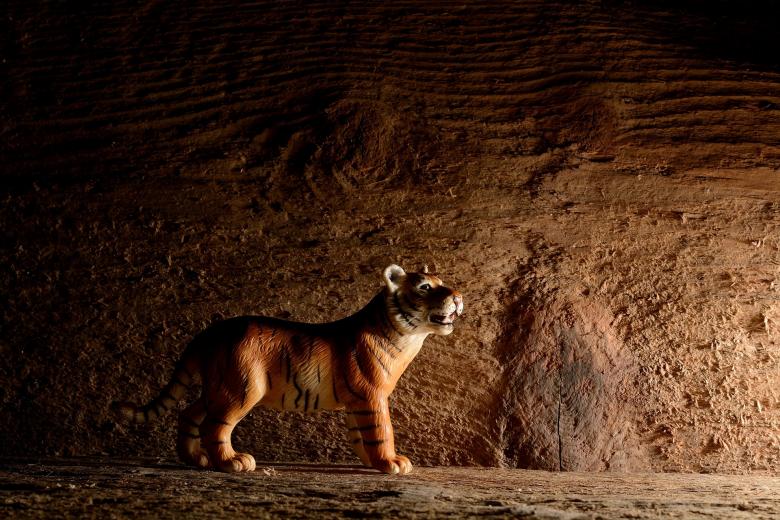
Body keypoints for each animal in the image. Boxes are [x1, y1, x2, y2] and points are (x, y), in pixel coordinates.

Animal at [112, 264, 463, 475]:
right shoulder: (372, 396)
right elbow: (381, 431)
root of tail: (210, 331)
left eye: (443, 283)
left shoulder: (356, 402)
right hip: (241, 388)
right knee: (215, 425)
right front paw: (392, 462)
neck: (404, 333)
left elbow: (362, 435)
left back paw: (196, 459)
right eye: (424, 287)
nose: (459, 297)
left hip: (217, 385)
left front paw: (371, 462)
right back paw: (231, 462)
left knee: (189, 414)